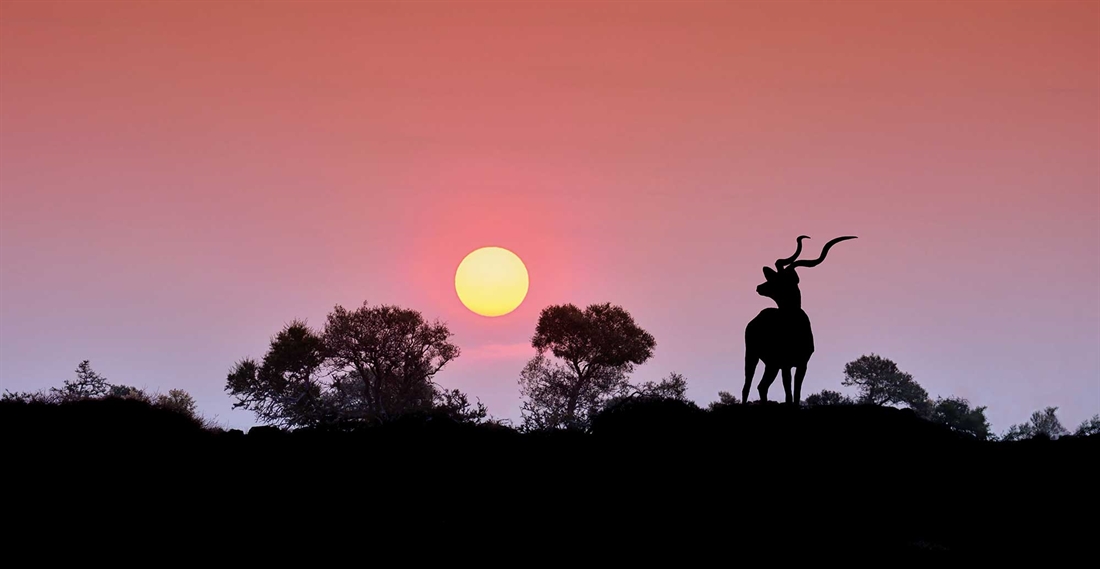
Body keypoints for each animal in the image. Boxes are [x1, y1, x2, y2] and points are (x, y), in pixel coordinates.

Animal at [743, 234, 853, 402]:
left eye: (779, 279)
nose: (759, 287)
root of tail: (754, 320)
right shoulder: (786, 364)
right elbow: (788, 396)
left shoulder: (802, 364)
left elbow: (796, 395)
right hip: (752, 355)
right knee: (746, 387)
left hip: (771, 364)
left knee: (762, 386)